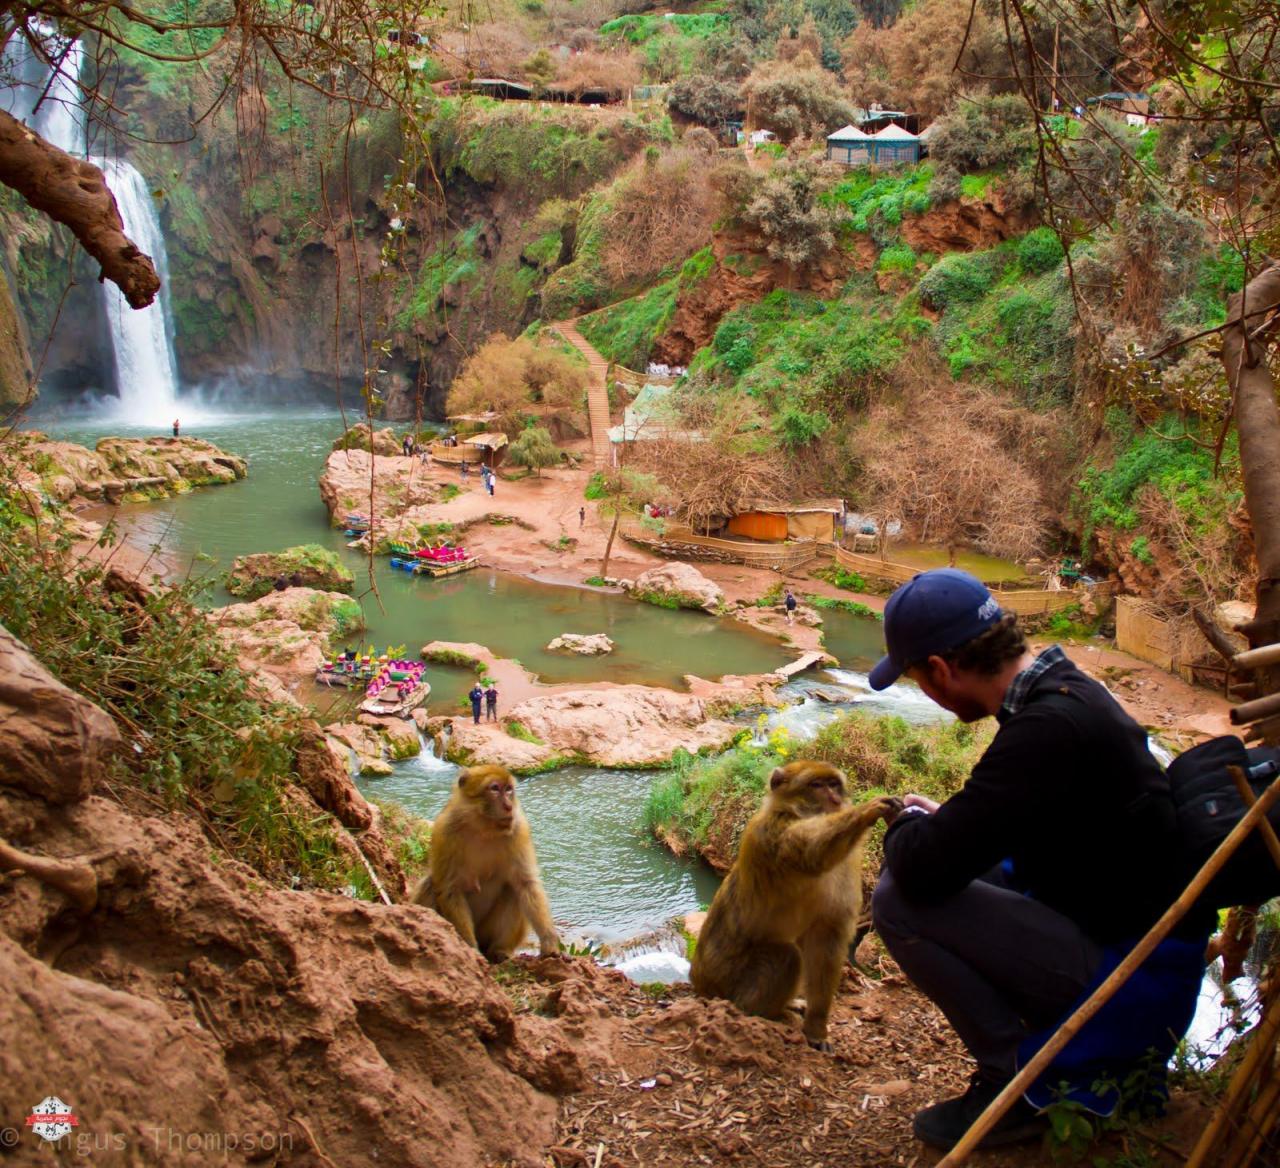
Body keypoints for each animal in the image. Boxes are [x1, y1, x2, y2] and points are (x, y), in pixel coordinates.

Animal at [412, 763, 558, 963]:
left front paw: (549, 942)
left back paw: (499, 951)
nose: (508, 806)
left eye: (509, 789)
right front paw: (471, 950)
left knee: (513, 889)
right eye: (495, 788)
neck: (483, 827)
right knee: (429, 884)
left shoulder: (518, 828)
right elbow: (450, 889)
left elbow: (526, 883)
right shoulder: (445, 829)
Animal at [691, 763, 901, 1055]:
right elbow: (812, 853)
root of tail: (700, 982)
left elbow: (827, 942)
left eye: (833, 785)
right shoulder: (774, 834)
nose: (835, 800)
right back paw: (766, 1013)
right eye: (816, 785)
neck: (796, 813)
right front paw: (868, 810)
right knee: (786, 956)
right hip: (729, 984)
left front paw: (816, 1027)